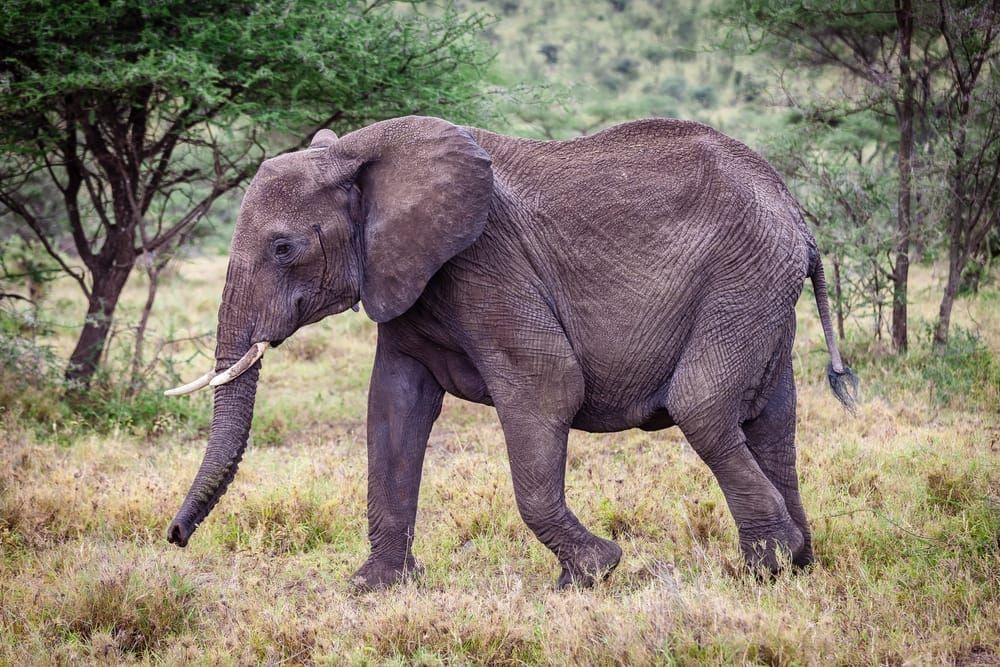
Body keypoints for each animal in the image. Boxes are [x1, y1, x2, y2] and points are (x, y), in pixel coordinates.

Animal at [165, 115, 858, 590]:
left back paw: (767, 565)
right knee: (770, 421)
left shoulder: (483, 262)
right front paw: (374, 588)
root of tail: (797, 214)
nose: (173, 537)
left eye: (284, 249)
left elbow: (547, 384)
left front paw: (591, 575)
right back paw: (799, 562)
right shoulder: (407, 278)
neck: (360, 152)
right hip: (761, 288)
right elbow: (392, 410)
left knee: (704, 408)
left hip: (741, 278)